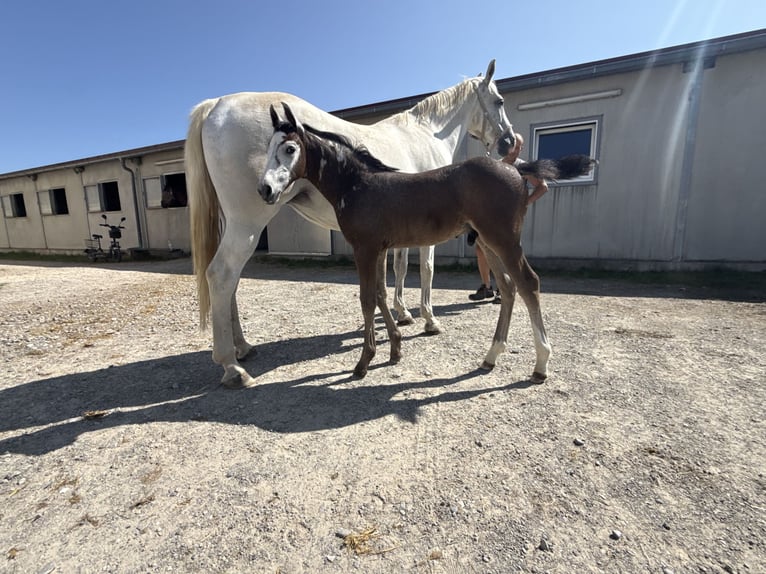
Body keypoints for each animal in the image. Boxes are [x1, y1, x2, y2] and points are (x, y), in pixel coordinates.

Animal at [186, 61, 515, 388]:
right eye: (499, 101)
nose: (509, 142)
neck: (425, 134)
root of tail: (216, 105)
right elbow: (425, 270)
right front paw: (428, 320)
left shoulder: (394, 236)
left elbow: (398, 271)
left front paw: (402, 314)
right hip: (247, 224)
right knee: (221, 275)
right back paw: (232, 366)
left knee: (230, 284)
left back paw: (242, 348)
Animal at [259, 103, 595, 381]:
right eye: (268, 148)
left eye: (290, 148)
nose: (265, 190)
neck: (357, 184)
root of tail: (515, 167)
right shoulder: (378, 249)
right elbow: (381, 294)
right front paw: (395, 349)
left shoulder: (364, 249)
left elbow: (367, 299)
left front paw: (364, 362)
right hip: (488, 242)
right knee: (509, 287)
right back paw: (491, 356)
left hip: (504, 239)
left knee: (528, 283)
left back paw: (541, 364)